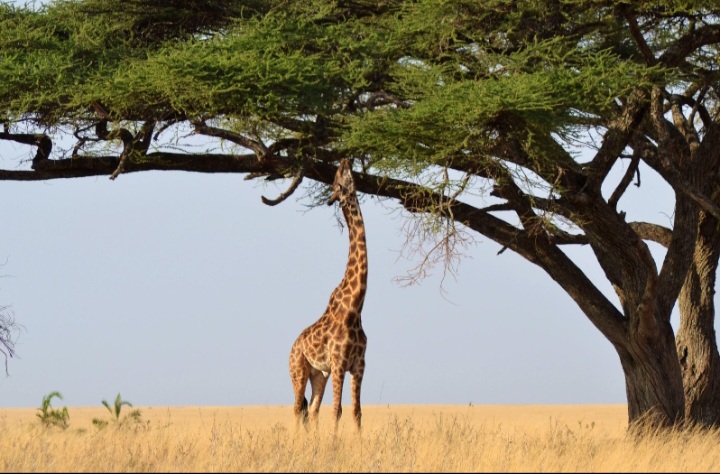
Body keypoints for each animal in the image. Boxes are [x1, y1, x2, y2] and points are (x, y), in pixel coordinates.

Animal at [288, 158, 368, 433]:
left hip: (319, 374)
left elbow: (356, 411)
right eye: (339, 181)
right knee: (297, 408)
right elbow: (337, 410)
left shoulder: (359, 365)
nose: (345, 160)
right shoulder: (339, 362)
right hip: (299, 370)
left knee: (311, 409)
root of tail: (292, 347)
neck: (355, 307)